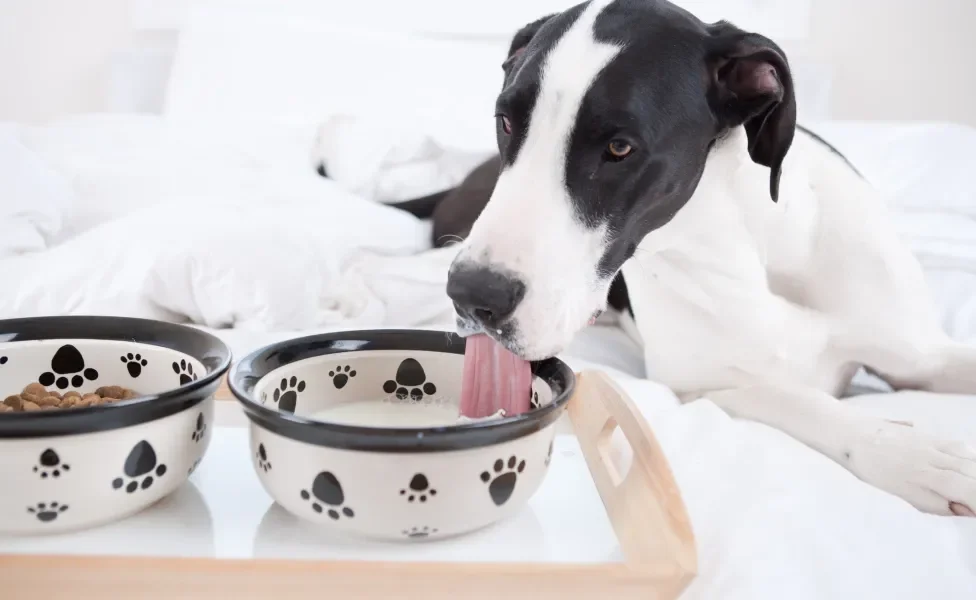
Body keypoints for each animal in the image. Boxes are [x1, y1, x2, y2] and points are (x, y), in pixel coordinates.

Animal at [440, 0, 976, 516]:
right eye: (506, 122)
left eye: (619, 147)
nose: (472, 294)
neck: (741, 242)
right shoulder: (700, 388)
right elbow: (793, 398)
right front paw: (914, 454)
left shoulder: (920, 354)